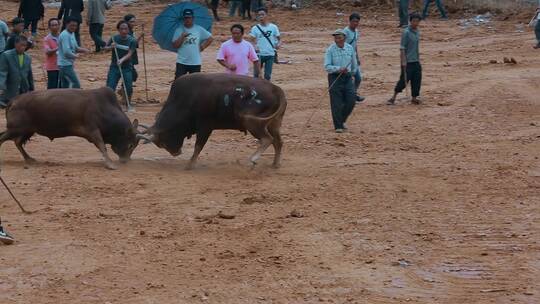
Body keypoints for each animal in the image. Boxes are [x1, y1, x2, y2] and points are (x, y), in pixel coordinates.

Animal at [0, 87, 141, 169]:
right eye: (131, 145)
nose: (125, 160)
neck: (104, 109)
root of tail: (13, 101)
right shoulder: (93, 131)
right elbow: (102, 146)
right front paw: (110, 164)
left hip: (27, 130)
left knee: (17, 142)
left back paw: (29, 159)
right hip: (16, 129)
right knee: (3, 138)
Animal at [138, 72, 286, 170]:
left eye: (162, 142)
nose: (176, 153)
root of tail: (277, 89)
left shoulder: (205, 127)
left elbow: (198, 146)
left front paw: (190, 164)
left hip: (252, 123)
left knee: (267, 139)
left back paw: (253, 159)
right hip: (273, 123)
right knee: (278, 142)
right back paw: (275, 164)